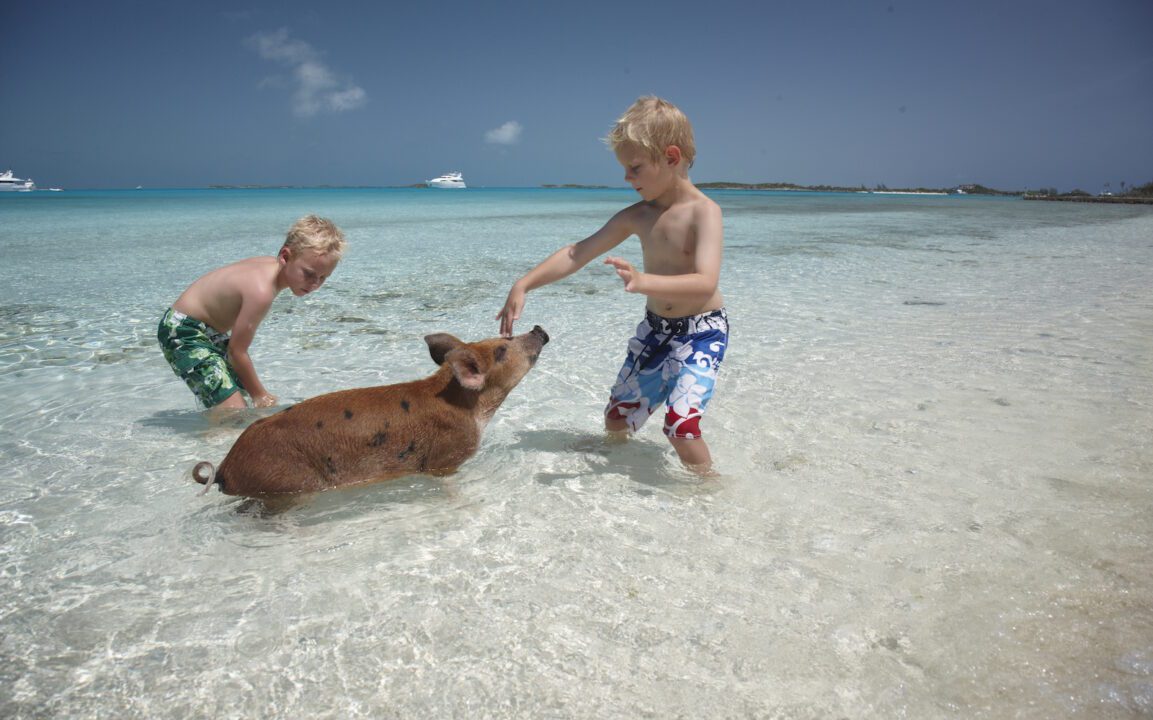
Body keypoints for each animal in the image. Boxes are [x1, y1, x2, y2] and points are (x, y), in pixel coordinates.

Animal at [190, 325, 548, 493]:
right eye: (502, 349)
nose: (539, 330)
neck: (472, 408)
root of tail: (224, 467)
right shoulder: (445, 457)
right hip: (285, 482)